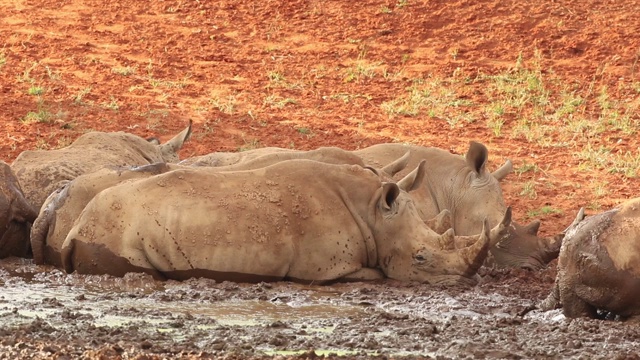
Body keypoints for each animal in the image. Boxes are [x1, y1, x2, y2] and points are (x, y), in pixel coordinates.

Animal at [60, 160, 498, 284]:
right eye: (421, 259)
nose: (467, 282)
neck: (374, 212)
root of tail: (75, 224)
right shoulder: (329, 270)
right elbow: (375, 274)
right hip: (114, 229)